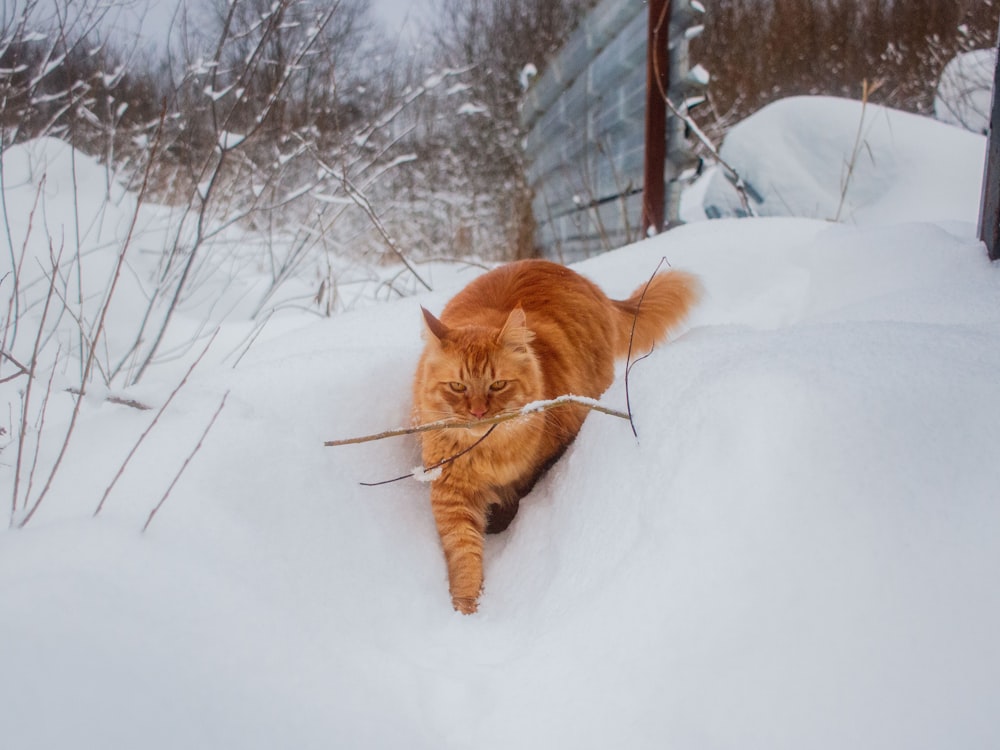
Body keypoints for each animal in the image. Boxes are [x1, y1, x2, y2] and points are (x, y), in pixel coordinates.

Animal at [410, 262, 700, 612]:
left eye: (497, 385)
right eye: (457, 387)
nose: (479, 413)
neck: (491, 452)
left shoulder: (540, 460)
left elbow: (516, 498)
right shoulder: (452, 492)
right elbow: (464, 555)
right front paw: (465, 609)